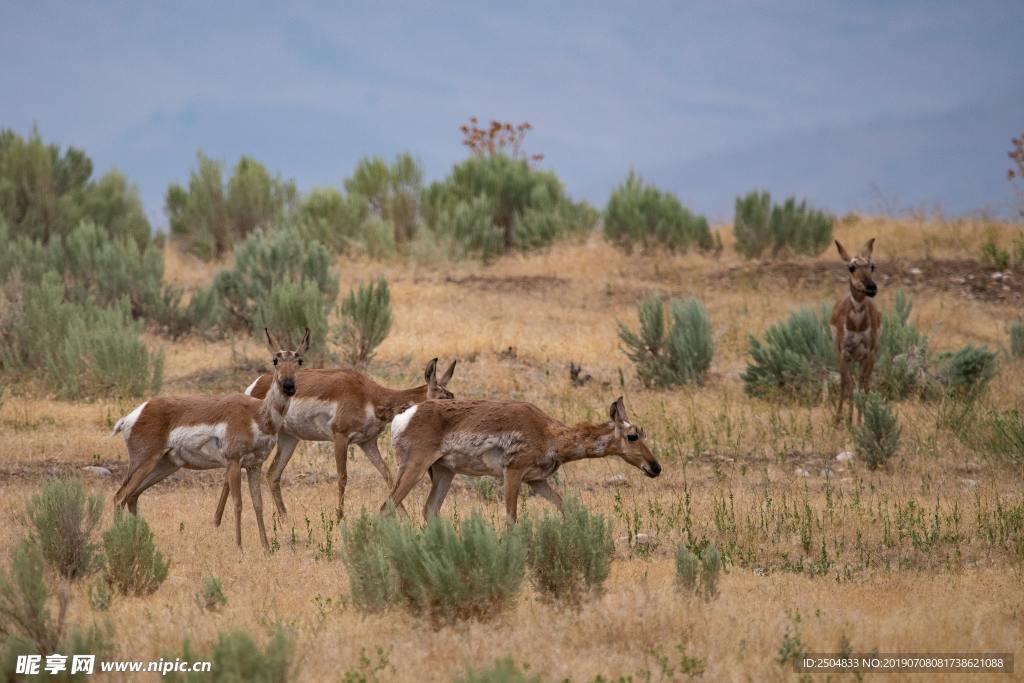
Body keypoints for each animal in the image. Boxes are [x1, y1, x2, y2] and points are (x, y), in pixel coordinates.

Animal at [111, 329, 309, 551]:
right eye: (275, 360)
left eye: (299, 360)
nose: (288, 386)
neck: (257, 414)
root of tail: (135, 414)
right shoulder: (234, 462)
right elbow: (238, 503)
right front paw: (239, 546)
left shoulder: (254, 466)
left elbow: (258, 504)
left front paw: (266, 547)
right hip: (144, 463)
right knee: (119, 497)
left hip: (164, 466)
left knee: (132, 496)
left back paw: (138, 539)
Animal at [224, 357, 457, 520]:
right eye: (443, 398)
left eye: (453, 396)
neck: (370, 395)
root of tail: (256, 384)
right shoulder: (340, 437)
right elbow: (342, 477)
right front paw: (339, 516)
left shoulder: (366, 442)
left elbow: (388, 476)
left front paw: (404, 515)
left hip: (289, 439)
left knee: (273, 474)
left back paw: (284, 518)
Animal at [385, 396, 661, 523]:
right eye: (633, 436)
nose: (655, 467)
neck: (548, 433)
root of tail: (405, 415)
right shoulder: (513, 473)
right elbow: (511, 517)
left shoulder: (536, 481)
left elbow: (564, 505)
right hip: (415, 467)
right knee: (386, 505)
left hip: (444, 472)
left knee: (429, 510)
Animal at [830, 238, 882, 425]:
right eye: (851, 267)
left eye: (872, 266)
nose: (871, 287)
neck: (857, 325)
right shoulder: (843, 353)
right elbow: (848, 385)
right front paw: (846, 420)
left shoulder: (869, 354)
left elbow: (862, 385)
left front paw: (860, 422)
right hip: (844, 357)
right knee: (845, 384)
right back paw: (840, 419)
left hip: (860, 359)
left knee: (862, 384)